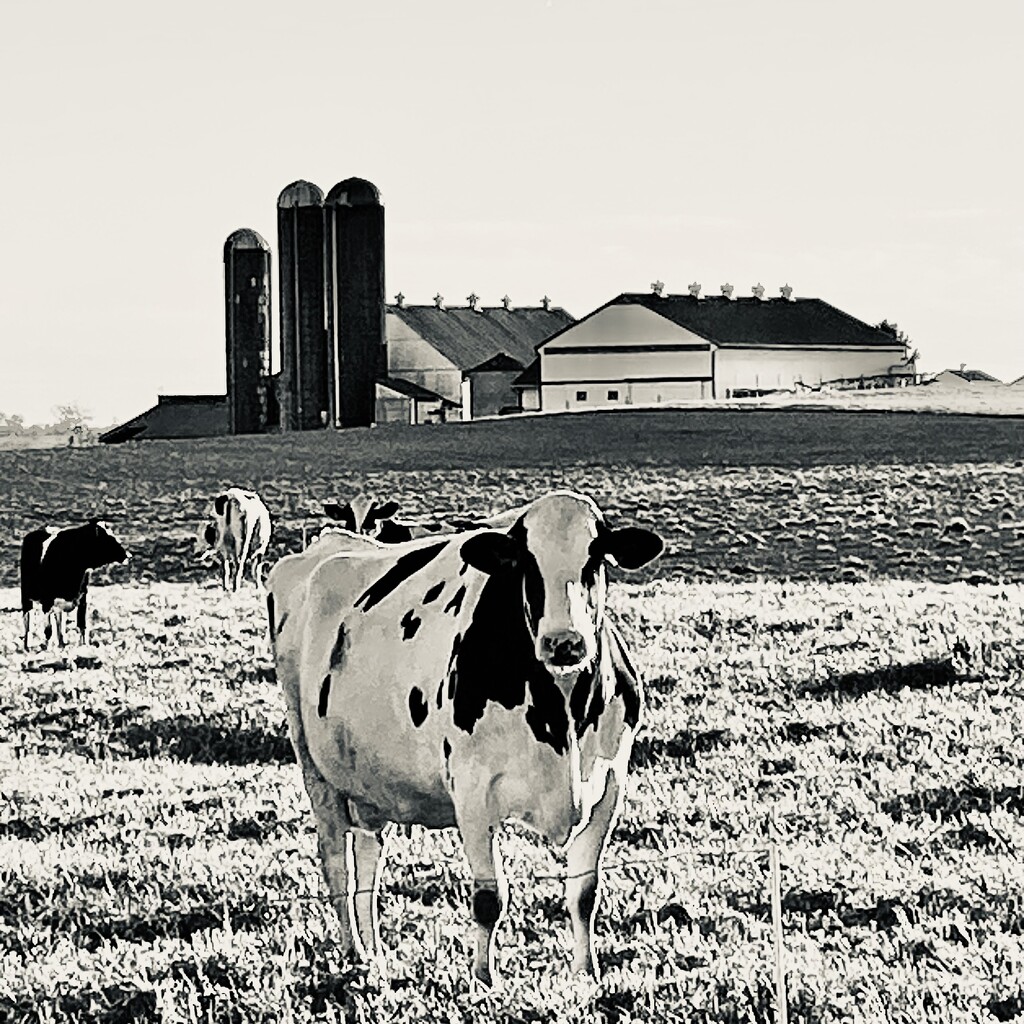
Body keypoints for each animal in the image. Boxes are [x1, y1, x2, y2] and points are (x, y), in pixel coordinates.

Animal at [270, 487, 663, 983]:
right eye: (525, 562)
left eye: (594, 557)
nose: (565, 642)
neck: (563, 715)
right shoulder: (473, 794)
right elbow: (489, 898)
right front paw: (484, 978)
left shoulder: (609, 783)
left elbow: (584, 893)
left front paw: (585, 973)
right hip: (315, 768)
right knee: (336, 862)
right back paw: (354, 950)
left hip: (370, 783)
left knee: (368, 864)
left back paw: (375, 953)